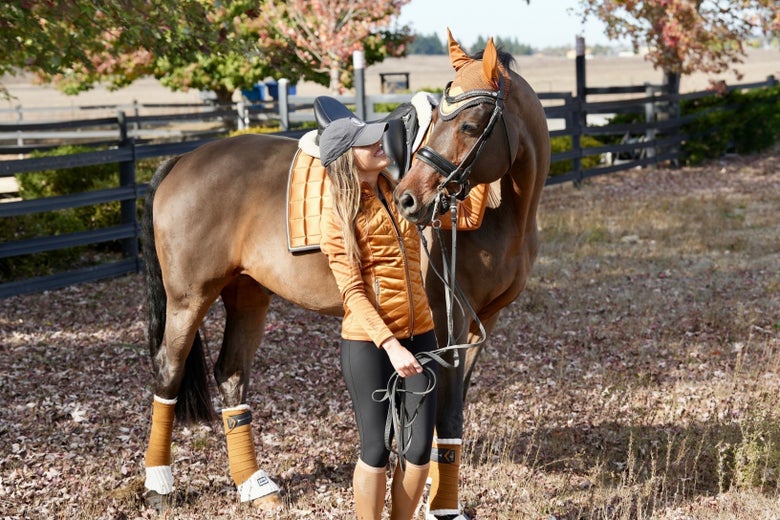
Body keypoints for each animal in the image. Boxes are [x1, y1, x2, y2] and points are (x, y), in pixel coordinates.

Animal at [140, 30, 549, 519]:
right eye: (438, 123)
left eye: (469, 127)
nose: (409, 200)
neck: (503, 213)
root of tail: (183, 160)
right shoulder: (446, 321)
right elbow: (446, 412)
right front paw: (442, 506)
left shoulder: (477, 326)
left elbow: (447, 417)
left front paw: (438, 499)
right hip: (189, 298)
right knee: (168, 371)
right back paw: (159, 484)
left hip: (248, 293)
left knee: (231, 375)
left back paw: (254, 486)